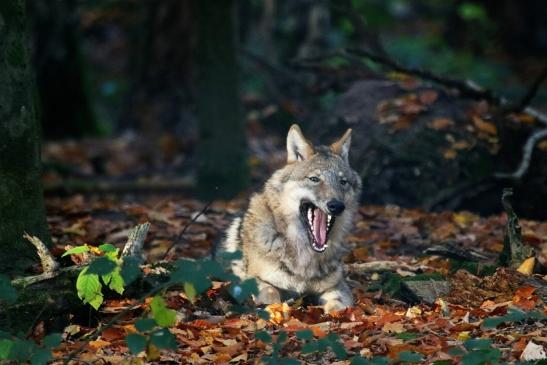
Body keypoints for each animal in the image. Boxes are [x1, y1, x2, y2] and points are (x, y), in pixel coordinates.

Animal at [218, 123, 364, 312]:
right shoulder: (252, 281)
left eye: (343, 182)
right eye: (314, 179)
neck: (304, 257)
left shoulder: (336, 286)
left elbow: (338, 305)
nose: (336, 206)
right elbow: (270, 292)